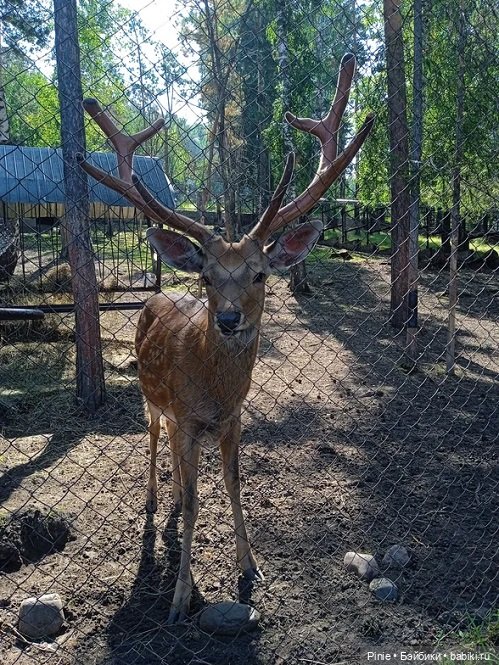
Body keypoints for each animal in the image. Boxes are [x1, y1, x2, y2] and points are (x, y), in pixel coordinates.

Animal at [78, 53, 374, 624]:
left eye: (259, 274)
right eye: (210, 277)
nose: (231, 319)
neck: (215, 391)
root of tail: (158, 295)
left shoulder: (232, 419)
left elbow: (236, 484)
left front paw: (250, 567)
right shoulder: (188, 416)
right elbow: (197, 502)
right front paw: (179, 598)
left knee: (173, 456)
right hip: (153, 401)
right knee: (153, 438)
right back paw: (156, 502)